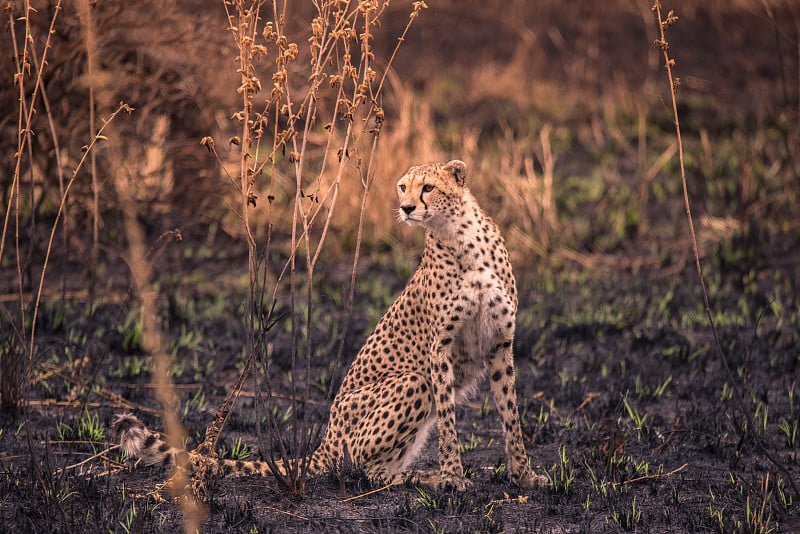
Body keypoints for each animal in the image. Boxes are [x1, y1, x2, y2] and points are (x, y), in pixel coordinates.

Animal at [112, 161, 548, 492]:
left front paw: (524, 475)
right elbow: (449, 423)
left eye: (428, 188)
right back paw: (423, 478)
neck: (458, 236)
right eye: (403, 187)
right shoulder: (438, 350)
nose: (407, 208)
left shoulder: (501, 344)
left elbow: (511, 414)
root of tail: (326, 438)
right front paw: (453, 478)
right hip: (411, 382)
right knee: (368, 471)